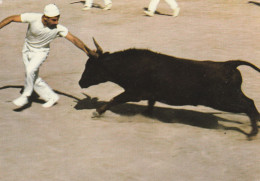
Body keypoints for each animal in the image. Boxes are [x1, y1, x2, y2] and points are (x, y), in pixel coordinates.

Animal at [79, 38, 260, 137]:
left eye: (91, 67)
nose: (80, 83)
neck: (127, 64)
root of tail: (229, 64)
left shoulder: (134, 93)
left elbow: (114, 99)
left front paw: (97, 112)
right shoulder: (149, 94)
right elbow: (150, 104)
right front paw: (146, 114)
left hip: (223, 100)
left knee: (249, 105)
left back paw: (252, 133)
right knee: (250, 103)